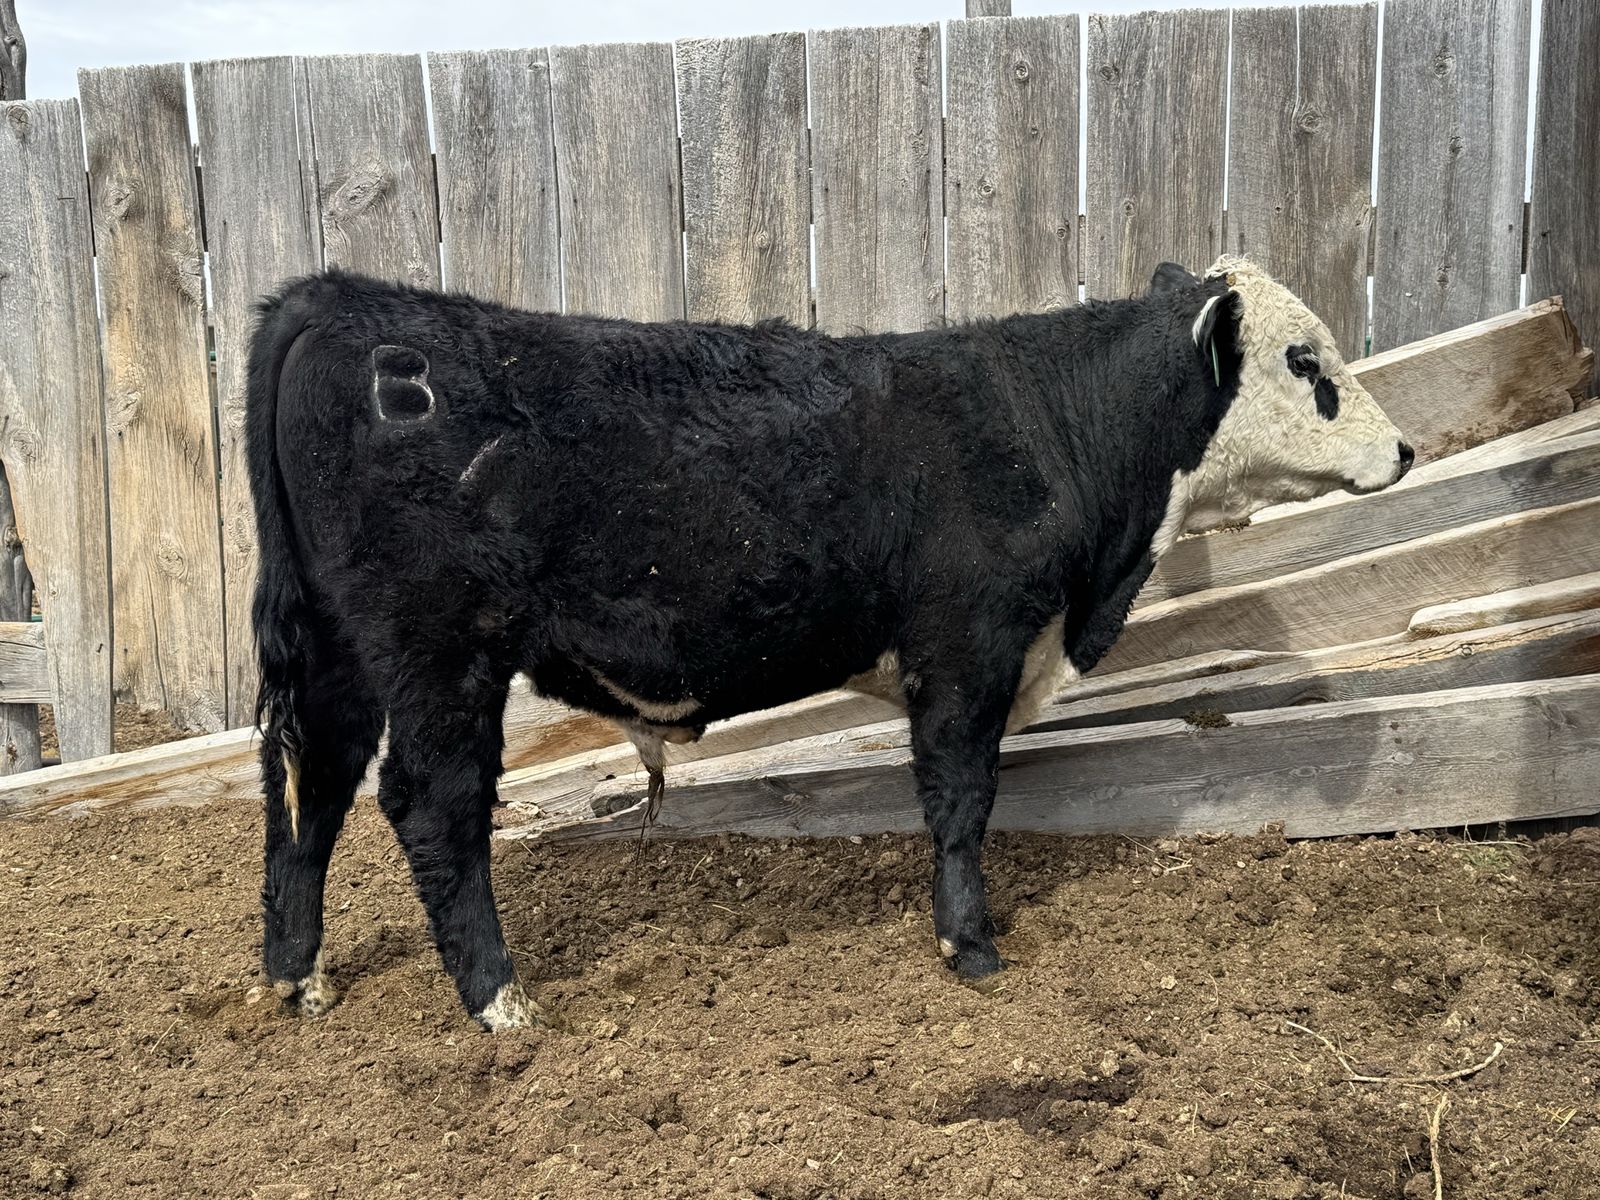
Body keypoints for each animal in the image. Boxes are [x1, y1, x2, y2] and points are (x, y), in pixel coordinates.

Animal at [246, 253, 1411, 1030]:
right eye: (1304, 358)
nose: (1403, 449)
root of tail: (346, 296)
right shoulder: (967, 642)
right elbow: (959, 796)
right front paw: (970, 946)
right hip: (441, 651)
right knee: (429, 804)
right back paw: (499, 1001)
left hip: (339, 651)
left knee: (313, 784)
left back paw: (295, 975)